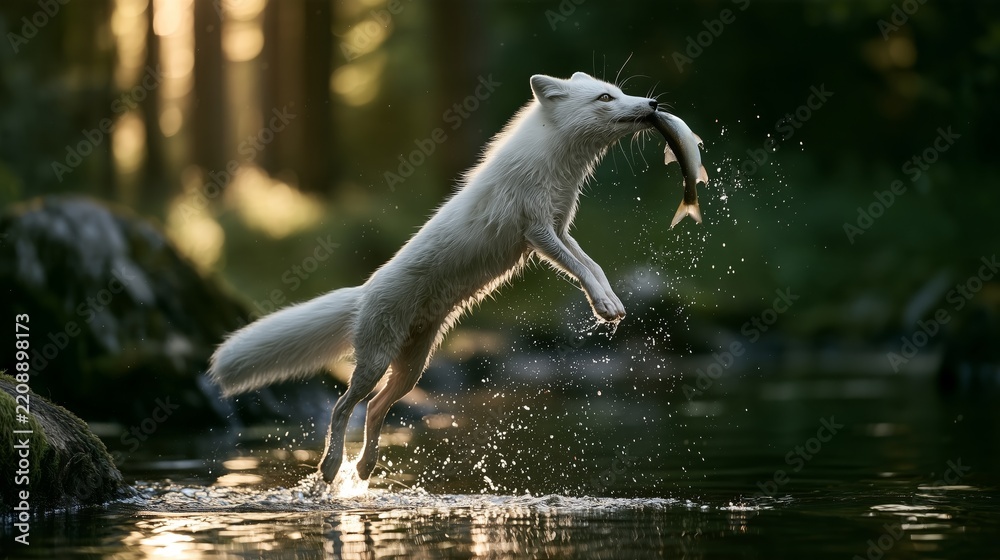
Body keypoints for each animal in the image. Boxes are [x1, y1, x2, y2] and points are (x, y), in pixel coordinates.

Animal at [208, 72, 662, 483]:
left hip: (412, 368)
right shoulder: (538, 232)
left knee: (375, 408)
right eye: (606, 97)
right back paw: (333, 465)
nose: (654, 104)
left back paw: (366, 467)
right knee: (342, 408)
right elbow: (582, 270)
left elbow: (593, 267)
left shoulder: (560, 230)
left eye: (618, 91)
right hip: (376, 361)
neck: (553, 166)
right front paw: (602, 306)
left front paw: (611, 303)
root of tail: (363, 293)